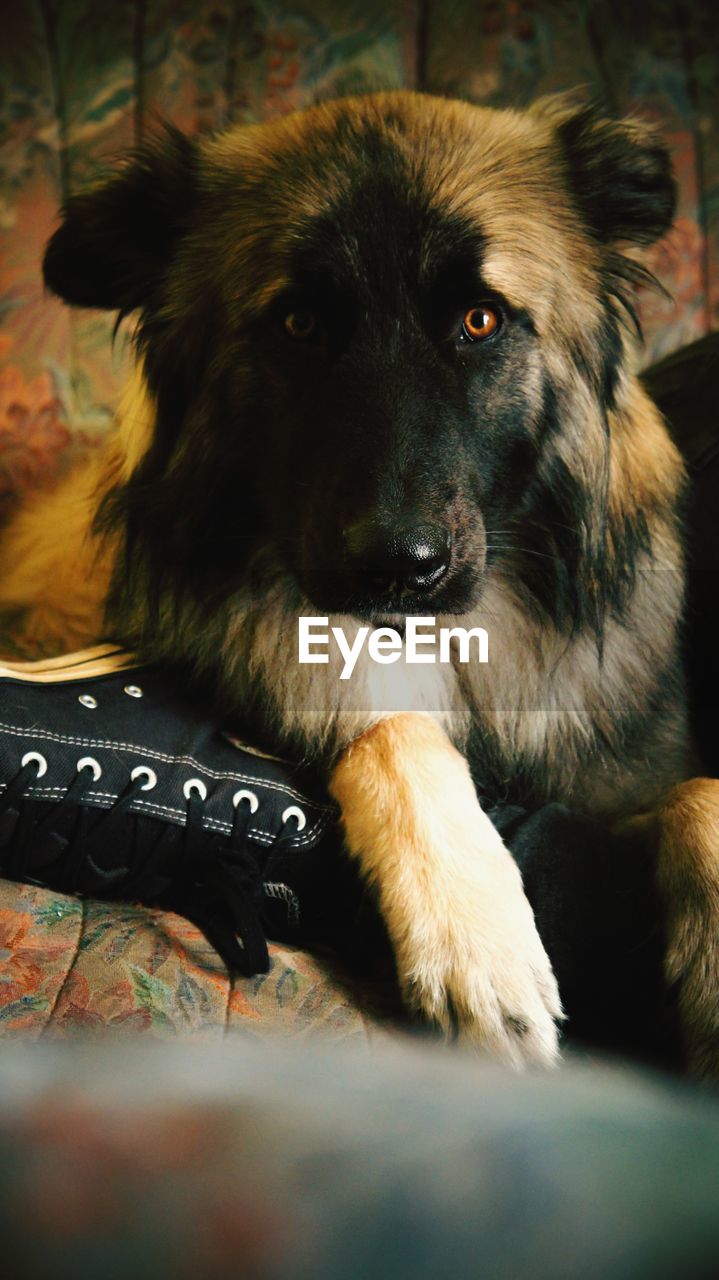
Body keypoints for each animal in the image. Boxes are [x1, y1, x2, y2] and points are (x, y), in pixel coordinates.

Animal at [2, 85, 711, 1075]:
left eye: (480, 320)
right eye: (297, 324)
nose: (396, 566)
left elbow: (700, 799)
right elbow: (390, 723)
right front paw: (476, 942)